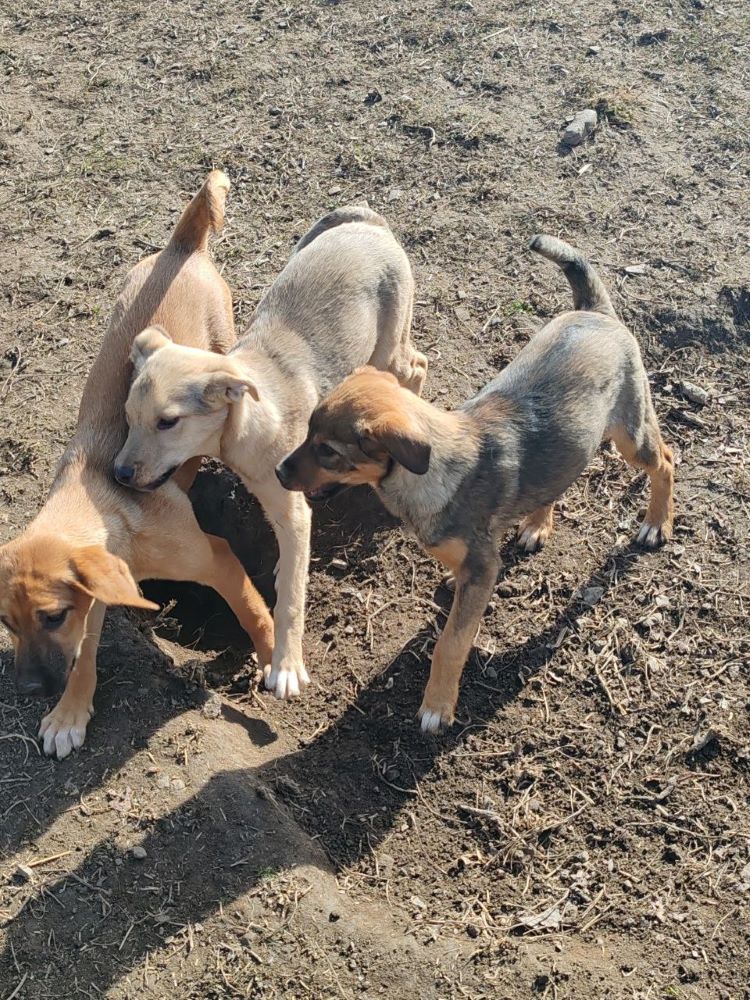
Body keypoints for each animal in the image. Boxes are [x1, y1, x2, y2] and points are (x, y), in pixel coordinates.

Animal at [0, 172, 276, 752]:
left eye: (51, 617)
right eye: (8, 623)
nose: (29, 690)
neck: (108, 509)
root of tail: (180, 247)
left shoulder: (216, 558)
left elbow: (251, 610)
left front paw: (274, 660)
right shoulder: (99, 594)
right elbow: (84, 653)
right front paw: (69, 712)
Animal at [113, 207, 428, 700]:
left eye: (168, 422)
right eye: (129, 416)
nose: (119, 473)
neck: (244, 427)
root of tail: (368, 221)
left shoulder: (293, 508)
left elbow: (290, 601)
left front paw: (286, 666)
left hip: (389, 345)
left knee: (416, 367)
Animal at [276, 235, 676, 736]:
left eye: (328, 451)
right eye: (307, 431)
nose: (279, 473)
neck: (435, 473)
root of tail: (595, 312)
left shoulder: (483, 570)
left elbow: (450, 642)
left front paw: (437, 706)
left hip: (630, 436)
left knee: (666, 460)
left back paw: (657, 523)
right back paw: (537, 524)